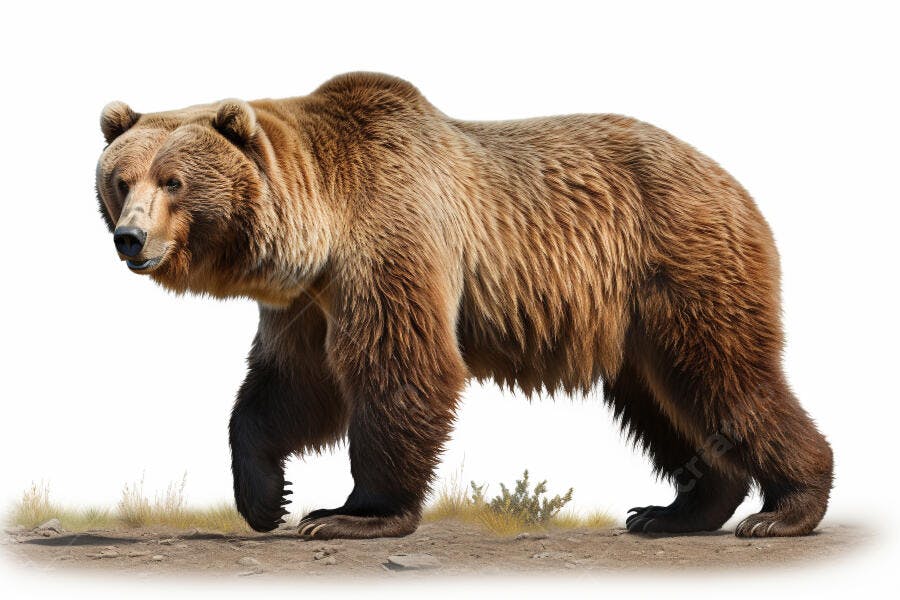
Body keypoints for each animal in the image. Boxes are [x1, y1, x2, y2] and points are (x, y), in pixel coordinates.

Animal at [95, 72, 833, 540]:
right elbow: (288, 387)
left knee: (725, 375)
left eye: (174, 181)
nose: (130, 237)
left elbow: (401, 368)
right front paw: (264, 499)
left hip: (679, 263)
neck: (319, 228)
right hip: (632, 320)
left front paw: (351, 514)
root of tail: (731, 180)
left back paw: (784, 510)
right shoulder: (306, 301)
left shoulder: (391, 238)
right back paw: (675, 511)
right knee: (663, 400)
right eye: (119, 178)